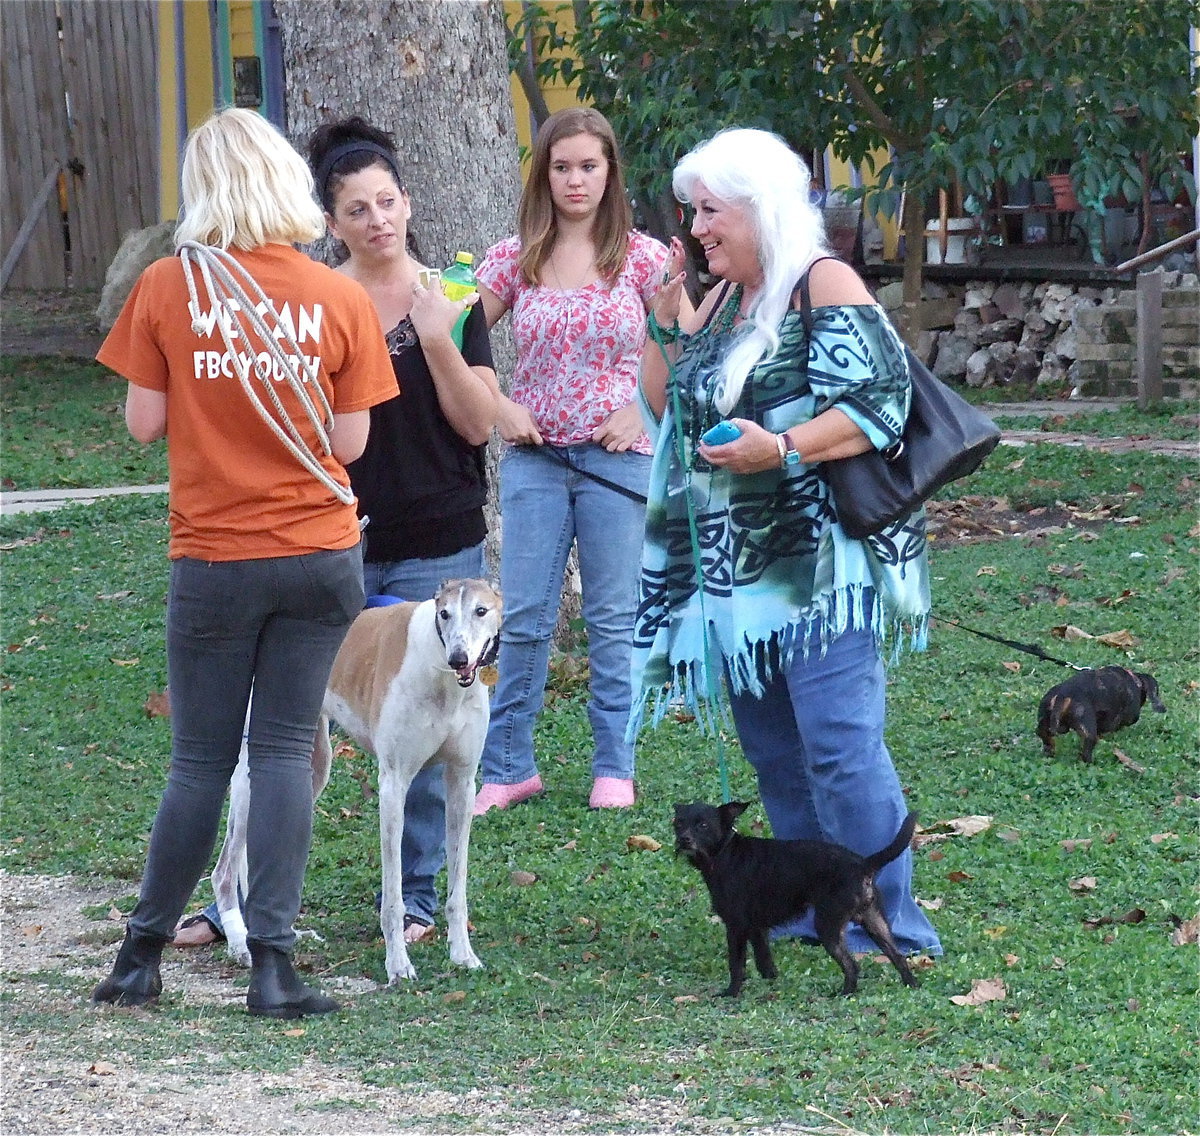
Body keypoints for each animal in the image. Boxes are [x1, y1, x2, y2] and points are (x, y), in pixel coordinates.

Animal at [211, 582, 501, 983]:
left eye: (481, 611)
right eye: (444, 613)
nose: (460, 658)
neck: (439, 668)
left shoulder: (462, 781)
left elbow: (457, 888)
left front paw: (462, 954)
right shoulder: (393, 784)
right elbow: (393, 898)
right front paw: (398, 965)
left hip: (310, 767)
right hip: (256, 776)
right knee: (224, 871)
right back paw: (240, 944)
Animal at [676, 801, 916, 993]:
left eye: (703, 825)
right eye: (678, 823)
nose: (683, 840)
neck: (725, 853)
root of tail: (863, 864)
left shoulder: (736, 926)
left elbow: (736, 964)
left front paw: (731, 993)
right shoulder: (756, 928)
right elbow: (764, 960)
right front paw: (770, 982)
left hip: (828, 925)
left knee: (851, 965)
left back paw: (845, 993)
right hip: (874, 922)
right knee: (898, 956)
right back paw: (910, 985)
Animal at [1036, 666, 1166, 762]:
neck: (1134, 680)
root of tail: (1063, 695)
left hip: (1044, 720)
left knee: (1043, 735)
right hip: (1088, 731)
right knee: (1087, 751)